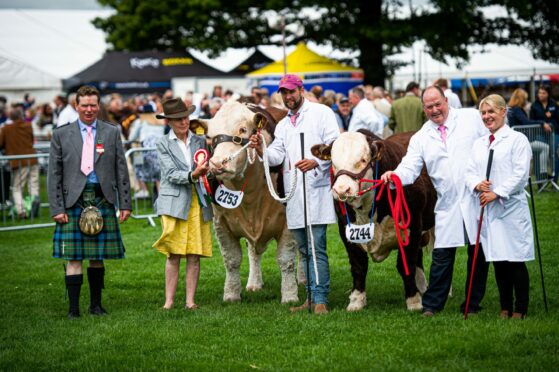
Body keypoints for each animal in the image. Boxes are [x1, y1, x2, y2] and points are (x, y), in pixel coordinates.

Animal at [310, 131, 438, 310]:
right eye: (333, 163)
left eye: (363, 160)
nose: (342, 190)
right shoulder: (346, 230)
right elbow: (358, 266)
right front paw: (356, 301)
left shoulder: (412, 226)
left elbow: (406, 264)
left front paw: (413, 301)